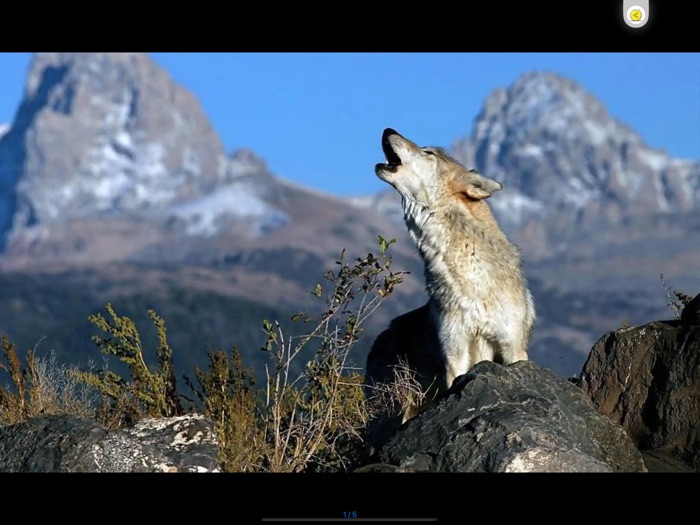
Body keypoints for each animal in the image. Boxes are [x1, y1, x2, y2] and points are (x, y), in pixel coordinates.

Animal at [365, 128, 535, 445]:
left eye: (428, 152)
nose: (388, 130)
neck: (470, 278)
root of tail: (381, 337)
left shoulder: (512, 348)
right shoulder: (455, 352)